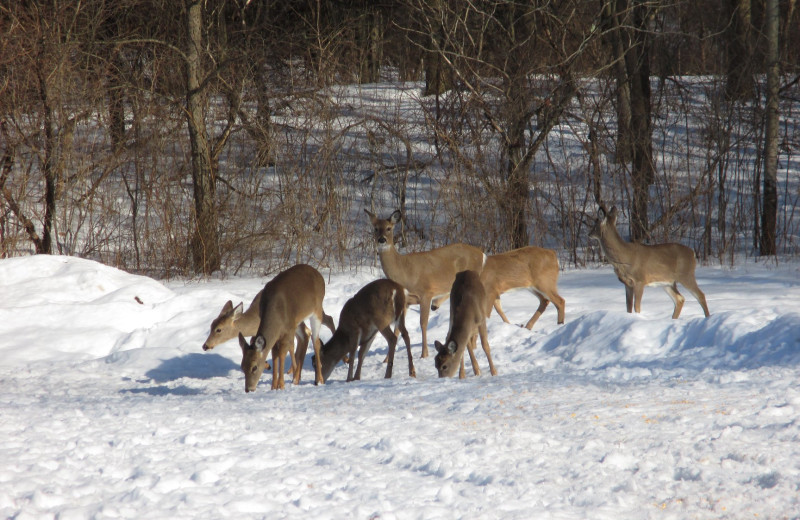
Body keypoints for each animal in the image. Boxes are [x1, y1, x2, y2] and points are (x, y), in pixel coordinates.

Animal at [364, 209, 488, 360]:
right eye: (376, 228)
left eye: (389, 228)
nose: (382, 240)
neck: (404, 270)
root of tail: (482, 255)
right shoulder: (406, 301)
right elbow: (397, 329)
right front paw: (386, 359)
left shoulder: (426, 293)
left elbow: (423, 323)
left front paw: (424, 354)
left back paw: (473, 345)